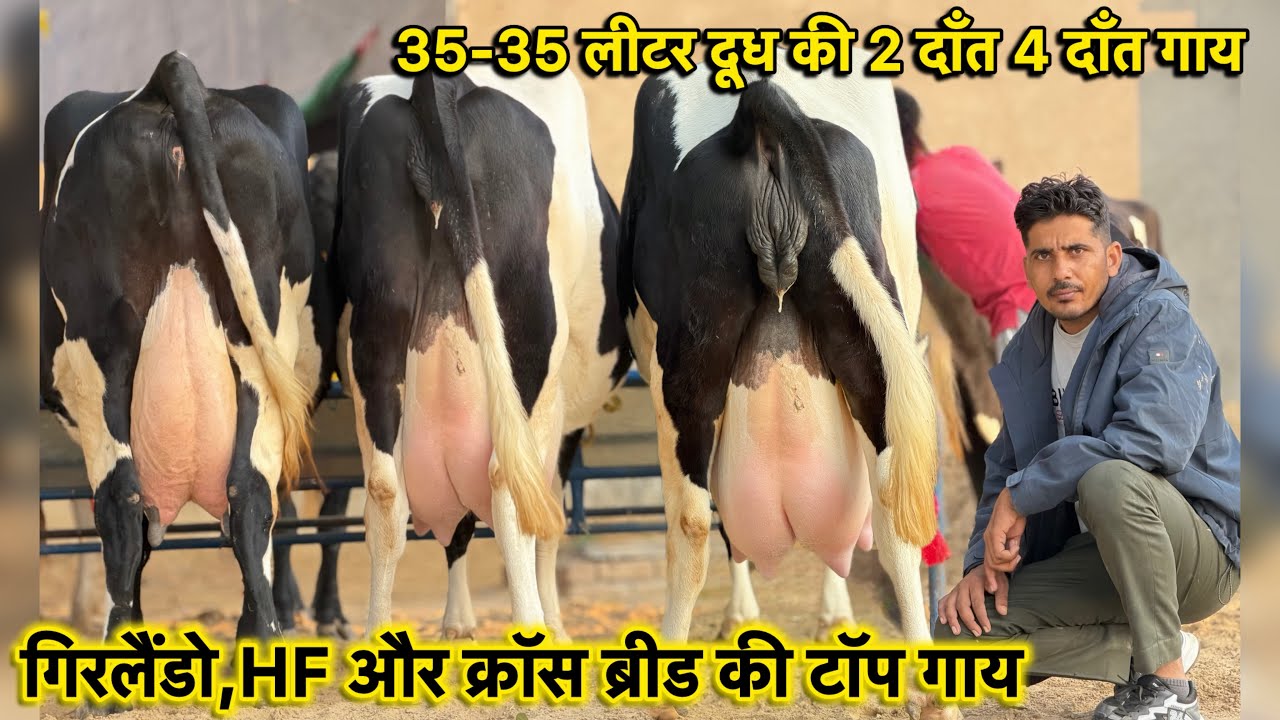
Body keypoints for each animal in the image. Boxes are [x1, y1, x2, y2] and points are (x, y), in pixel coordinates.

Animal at [40, 52, 316, 641]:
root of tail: (171, 74)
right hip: (258, 344)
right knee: (248, 492)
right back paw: (260, 636)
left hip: (100, 356)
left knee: (120, 500)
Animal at [333, 67, 631, 638]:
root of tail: (441, 87)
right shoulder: (560, 420)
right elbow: (549, 521)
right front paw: (553, 625)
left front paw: (457, 620)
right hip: (526, 349)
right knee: (508, 486)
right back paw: (533, 627)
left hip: (376, 335)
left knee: (385, 493)